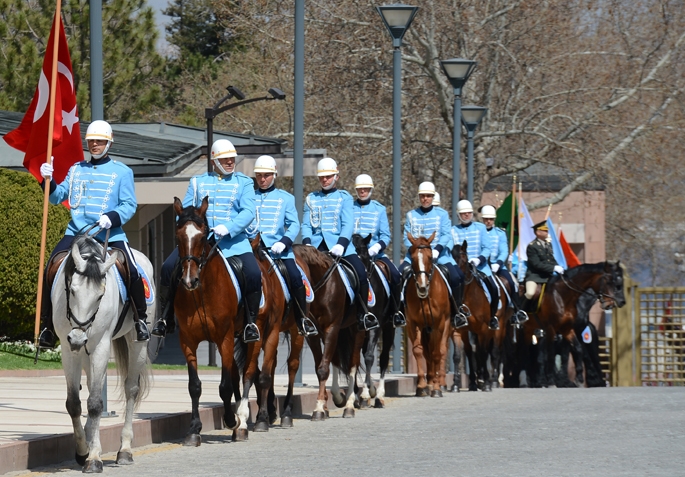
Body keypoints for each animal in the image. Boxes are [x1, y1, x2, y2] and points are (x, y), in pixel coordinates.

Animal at [52, 234, 154, 472]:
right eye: (72, 290)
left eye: (100, 296)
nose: (77, 338)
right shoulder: (68, 350)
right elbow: (74, 403)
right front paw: (82, 450)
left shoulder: (100, 347)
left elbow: (96, 404)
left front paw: (94, 457)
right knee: (91, 387)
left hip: (137, 343)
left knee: (131, 389)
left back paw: (125, 449)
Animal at [172, 196, 242, 442]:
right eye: (178, 235)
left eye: (203, 235)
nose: (189, 280)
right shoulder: (187, 341)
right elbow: (194, 385)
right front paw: (194, 428)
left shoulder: (225, 338)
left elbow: (225, 385)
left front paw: (230, 419)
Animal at [292, 244, 366, 418]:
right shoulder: (313, 336)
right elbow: (320, 366)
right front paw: (324, 405)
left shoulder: (331, 328)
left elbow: (323, 369)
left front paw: (319, 408)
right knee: (337, 360)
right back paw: (338, 397)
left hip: (357, 330)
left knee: (352, 364)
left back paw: (349, 405)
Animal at [404, 232, 452, 396]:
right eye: (412, 258)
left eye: (430, 257)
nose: (422, 287)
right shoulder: (413, 323)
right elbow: (418, 351)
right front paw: (421, 386)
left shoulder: (438, 324)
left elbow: (437, 353)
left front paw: (437, 388)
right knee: (427, 352)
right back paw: (430, 381)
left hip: (446, 326)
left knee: (442, 350)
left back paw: (440, 383)